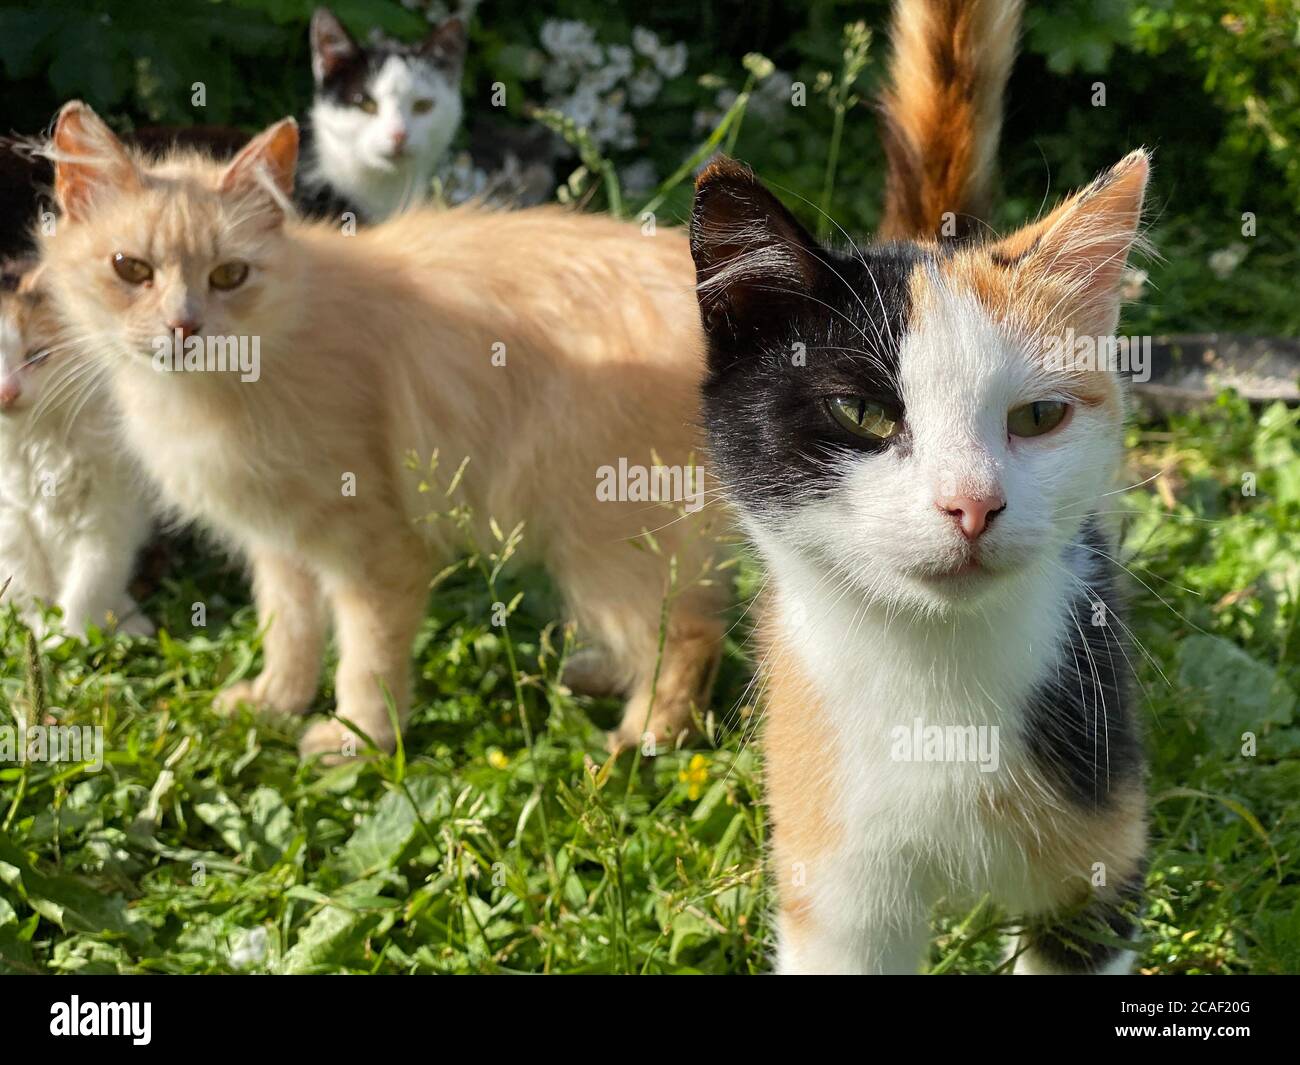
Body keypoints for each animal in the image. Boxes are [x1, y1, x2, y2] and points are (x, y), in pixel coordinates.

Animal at [40, 102, 728, 759]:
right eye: (131, 269)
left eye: (229, 276)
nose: (184, 327)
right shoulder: (280, 544)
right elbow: (289, 634)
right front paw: (275, 704)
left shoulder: (376, 552)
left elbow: (365, 663)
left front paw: (358, 741)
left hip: (601, 543)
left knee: (691, 632)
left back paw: (645, 737)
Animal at [691, 0, 1149, 972]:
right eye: (864, 413)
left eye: (1038, 416)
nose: (973, 503)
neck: (937, 685)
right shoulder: (834, 871)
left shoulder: (1095, 841)